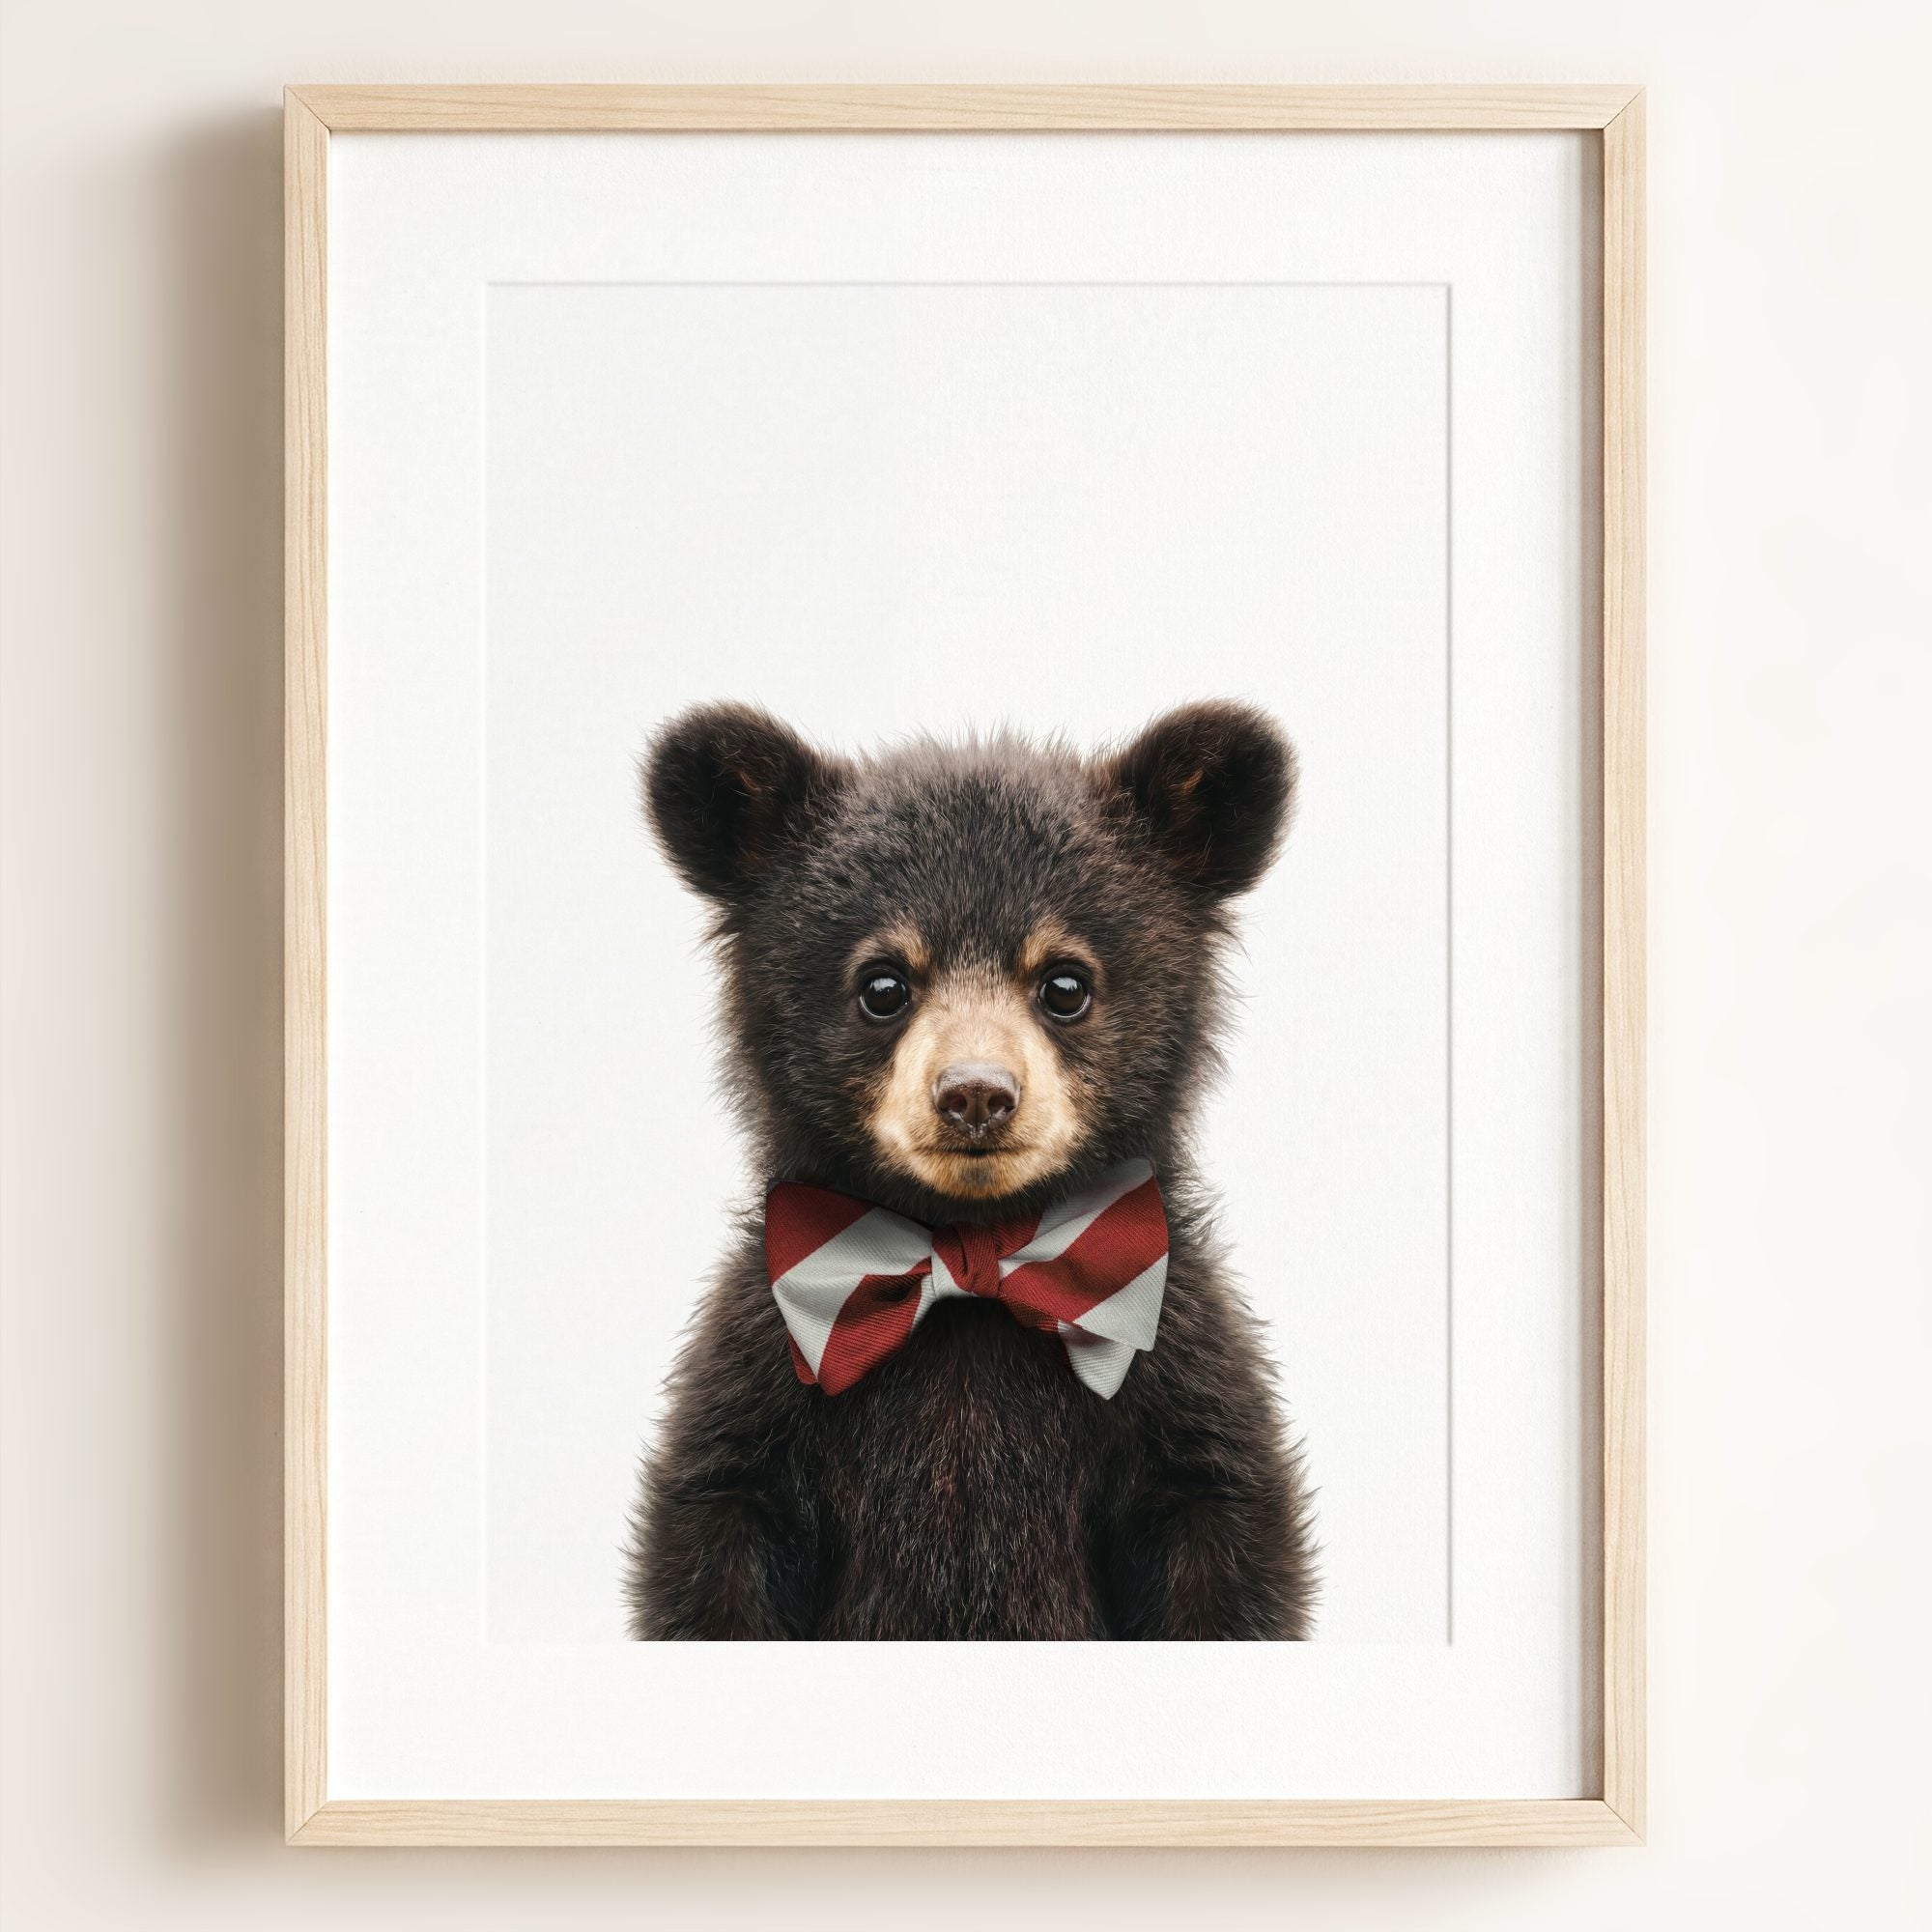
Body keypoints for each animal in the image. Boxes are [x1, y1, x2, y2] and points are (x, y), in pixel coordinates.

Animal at [624, 700, 1316, 1640]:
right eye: (883, 985)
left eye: (1065, 983)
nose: (977, 1095)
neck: (973, 1252)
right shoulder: (760, 1386)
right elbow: (715, 1543)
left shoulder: (1180, 1382)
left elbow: (1223, 1542)